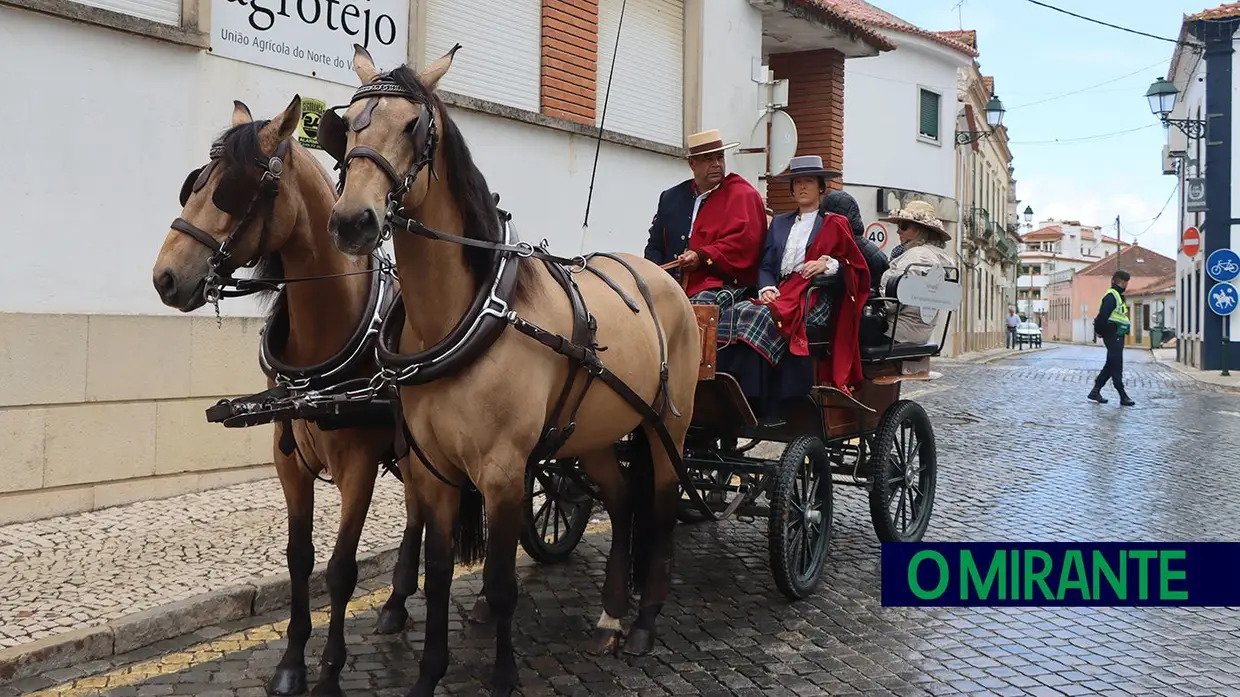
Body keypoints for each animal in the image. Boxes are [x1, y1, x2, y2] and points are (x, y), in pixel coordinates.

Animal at [150, 96, 434, 694]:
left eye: (234, 188)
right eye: (194, 183)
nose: (165, 277)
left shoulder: (359, 466)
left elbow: (341, 569)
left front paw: (329, 671)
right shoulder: (289, 460)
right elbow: (300, 557)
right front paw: (291, 661)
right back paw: (397, 602)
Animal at [317, 46, 709, 689]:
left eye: (414, 126)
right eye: (346, 125)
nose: (352, 222)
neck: (464, 316)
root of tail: (665, 276)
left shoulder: (502, 473)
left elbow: (501, 585)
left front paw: (502, 677)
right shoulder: (433, 470)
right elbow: (439, 576)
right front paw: (428, 674)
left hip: (664, 428)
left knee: (660, 510)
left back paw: (644, 623)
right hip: (591, 435)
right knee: (623, 502)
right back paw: (610, 615)